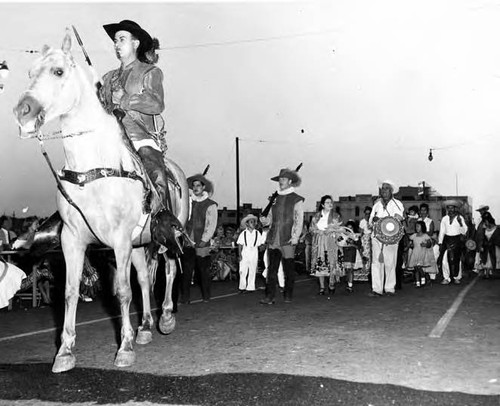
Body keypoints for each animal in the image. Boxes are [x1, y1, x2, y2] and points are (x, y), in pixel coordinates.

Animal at [14, 30, 189, 372]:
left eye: (58, 71)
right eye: (29, 72)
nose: (22, 111)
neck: (92, 171)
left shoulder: (119, 238)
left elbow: (121, 291)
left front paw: (125, 347)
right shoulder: (73, 239)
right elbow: (69, 292)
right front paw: (64, 351)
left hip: (167, 235)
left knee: (169, 269)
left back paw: (165, 317)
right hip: (139, 244)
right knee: (144, 279)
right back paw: (145, 327)